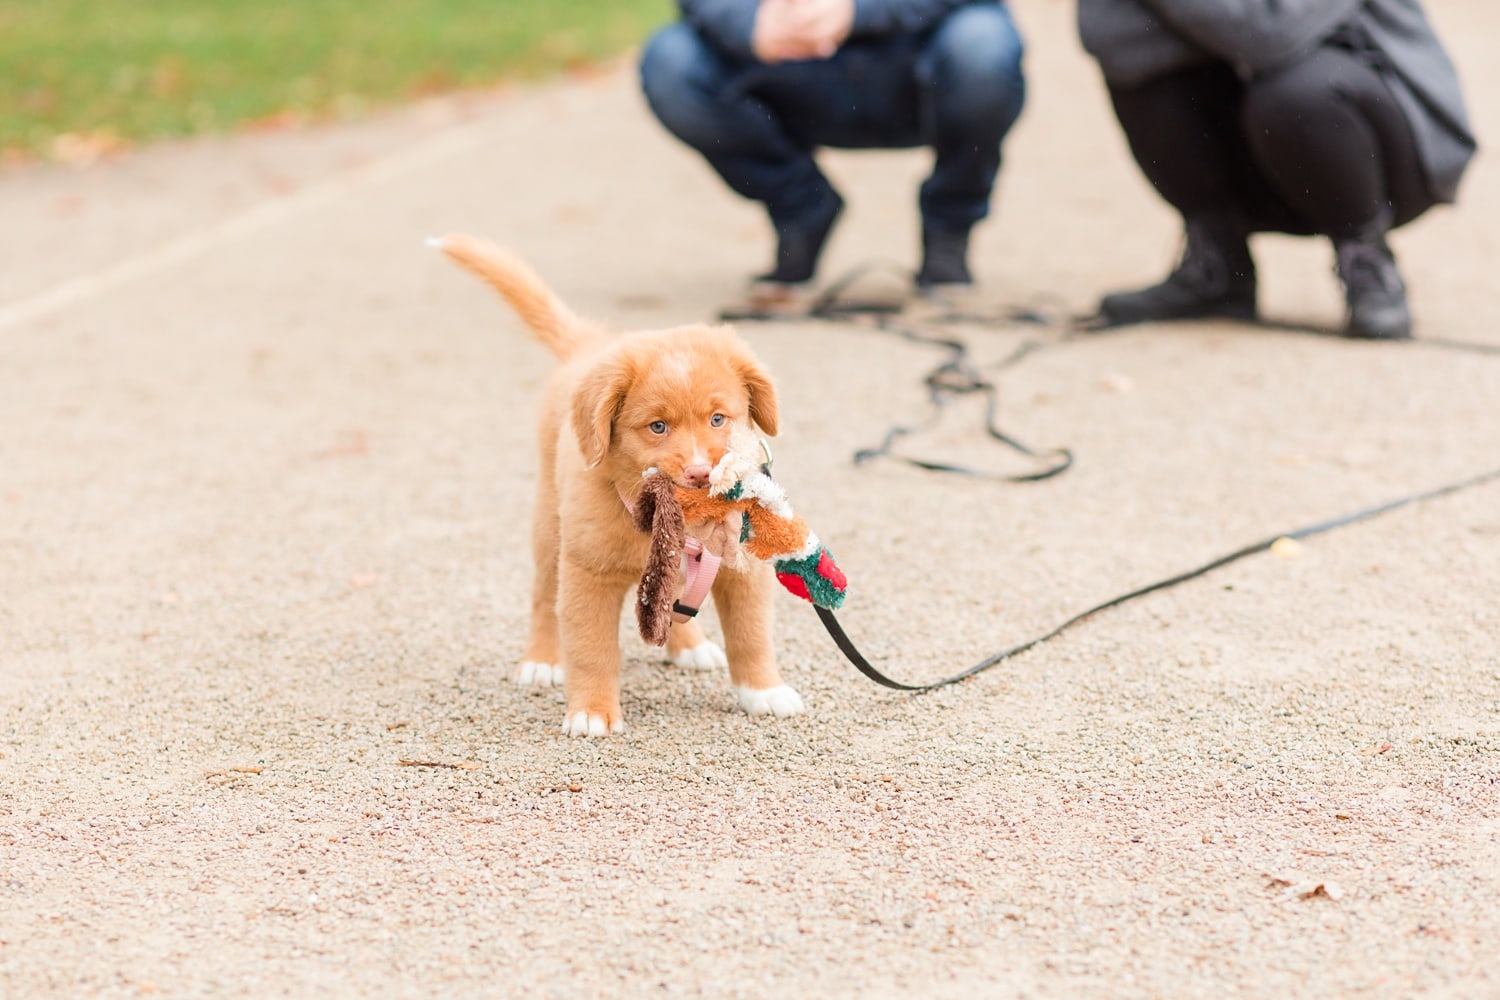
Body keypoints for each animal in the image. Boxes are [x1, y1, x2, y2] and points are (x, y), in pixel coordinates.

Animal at [435, 235, 810, 734]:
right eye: (657, 427)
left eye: (718, 419)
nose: (700, 473)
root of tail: (591, 347)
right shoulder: (588, 571)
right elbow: (592, 648)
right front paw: (592, 712)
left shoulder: (742, 569)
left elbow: (751, 635)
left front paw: (764, 691)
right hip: (550, 527)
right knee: (543, 597)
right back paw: (541, 660)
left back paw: (690, 646)